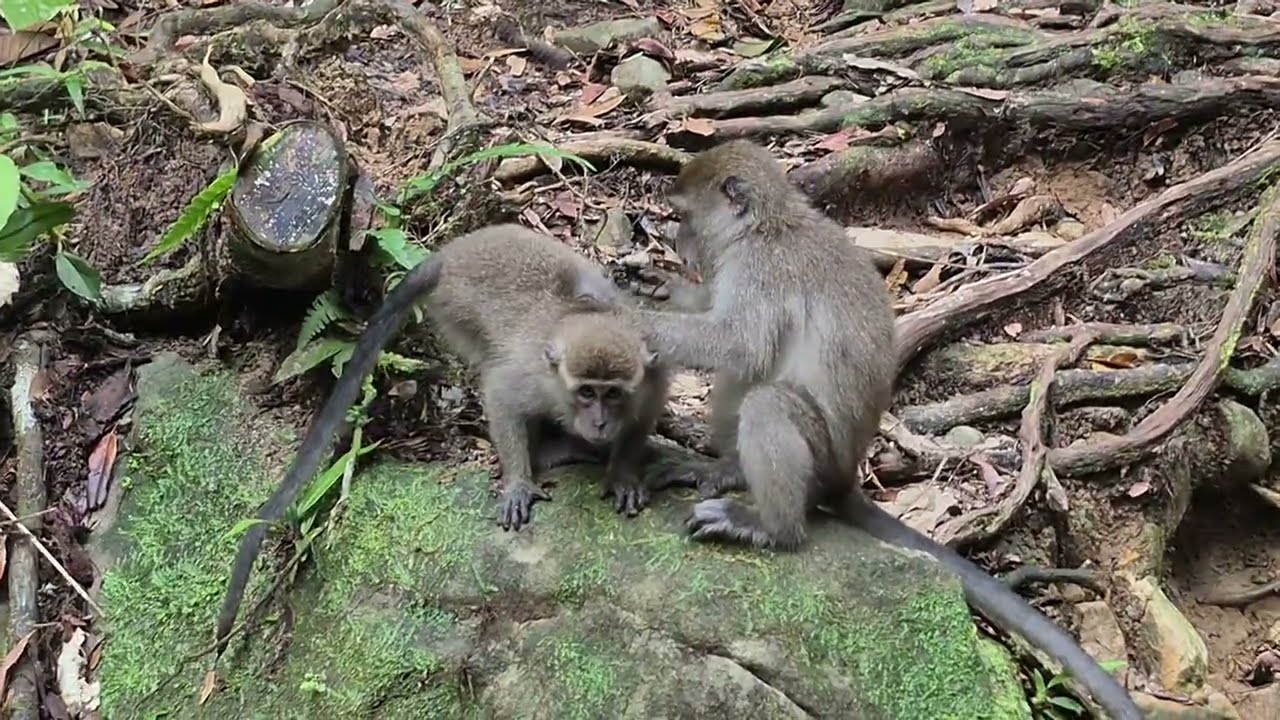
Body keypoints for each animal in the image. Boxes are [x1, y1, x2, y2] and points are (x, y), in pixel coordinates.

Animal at [214, 224, 670, 652]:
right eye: (587, 392)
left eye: (613, 394)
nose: (599, 422)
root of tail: (450, 253)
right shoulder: (532, 376)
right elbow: (500, 395)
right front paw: (519, 482)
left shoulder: (651, 374)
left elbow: (644, 415)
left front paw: (623, 473)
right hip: (455, 310)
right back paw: (552, 451)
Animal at [629, 140, 1142, 720]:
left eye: (683, 217)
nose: (677, 243)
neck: (768, 226)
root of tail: (848, 475)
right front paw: (662, 286)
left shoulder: (761, 271)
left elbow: (740, 344)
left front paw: (638, 320)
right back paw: (725, 470)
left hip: (822, 458)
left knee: (768, 400)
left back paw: (768, 525)